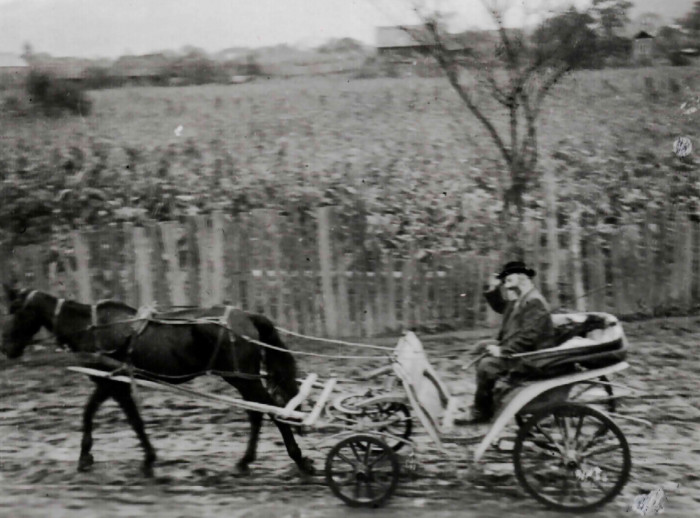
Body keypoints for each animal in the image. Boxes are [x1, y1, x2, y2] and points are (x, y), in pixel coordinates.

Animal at [0, 288, 312, 480]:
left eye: (15, 311)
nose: (7, 348)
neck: (93, 329)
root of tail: (245, 316)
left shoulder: (112, 384)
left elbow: (109, 416)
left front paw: (91, 456)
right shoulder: (111, 384)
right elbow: (111, 416)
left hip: (241, 378)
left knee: (271, 410)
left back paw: (298, 459)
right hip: (242, 379)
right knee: (256, 412)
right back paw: (246, 460)